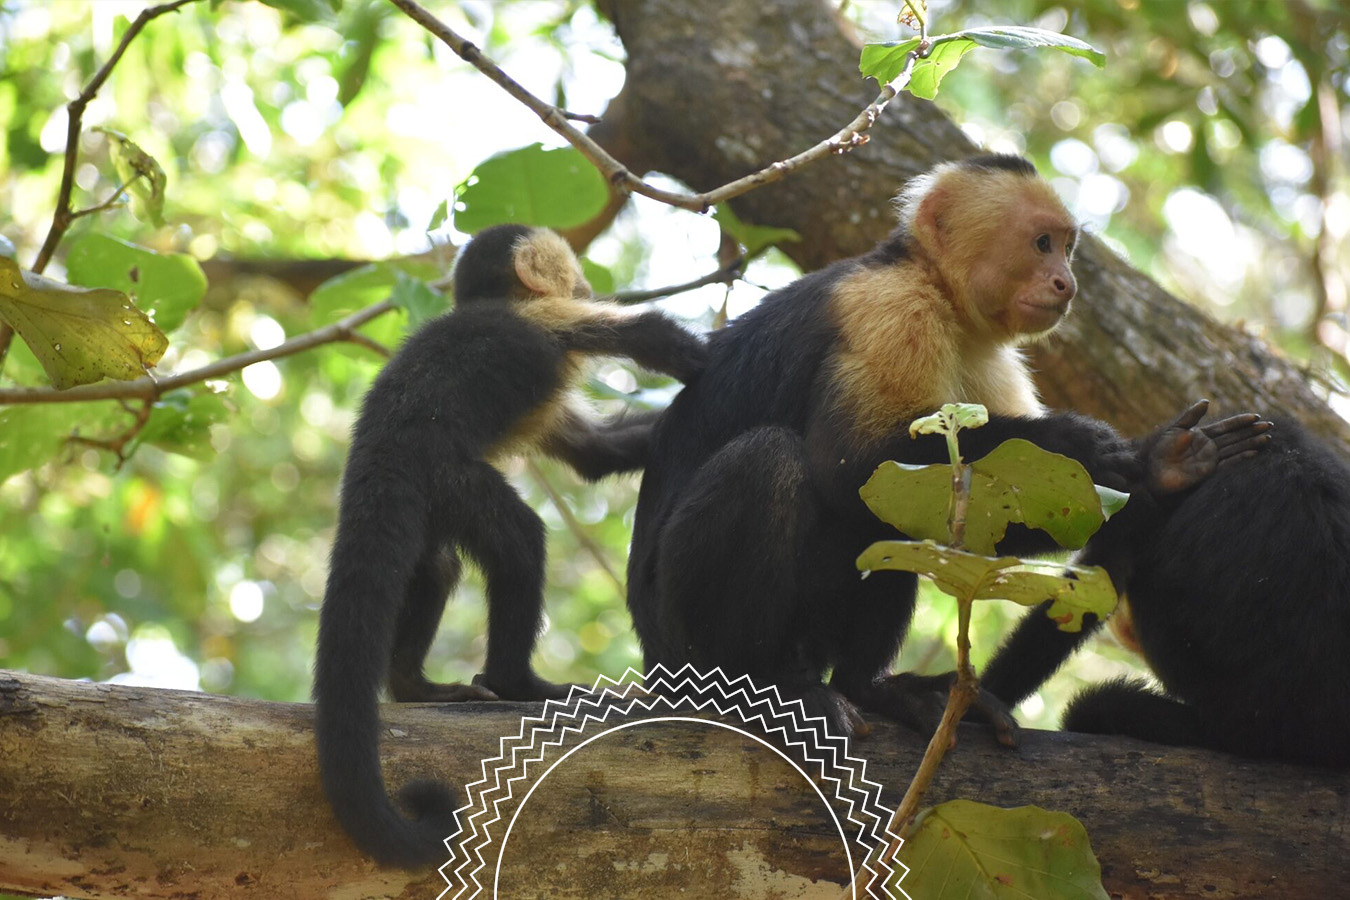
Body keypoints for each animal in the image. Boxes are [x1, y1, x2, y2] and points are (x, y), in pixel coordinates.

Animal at [313, 223, 708, 867]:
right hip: (445, 477)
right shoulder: (543, 319)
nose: (586, 284)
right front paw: (685, 349)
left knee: (436, 567)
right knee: (520, 542)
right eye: (575, 275)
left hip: (425, 500)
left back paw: (414, 685)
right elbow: (633, 335)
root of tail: (376, 451)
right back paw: (516, 682)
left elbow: (596, 455)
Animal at [626, 154, 1271, 745]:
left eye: (1067, 248)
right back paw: (759, 686)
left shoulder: (990, 355)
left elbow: (977, 511)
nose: (1067, 283)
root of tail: (656, 665)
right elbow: (852, 465)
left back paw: (871, 689)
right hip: (676, 639)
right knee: (771, 461)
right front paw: (1096, 446)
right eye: (1041, 244)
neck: (941, 293)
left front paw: (1163, 469)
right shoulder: (886, 309)